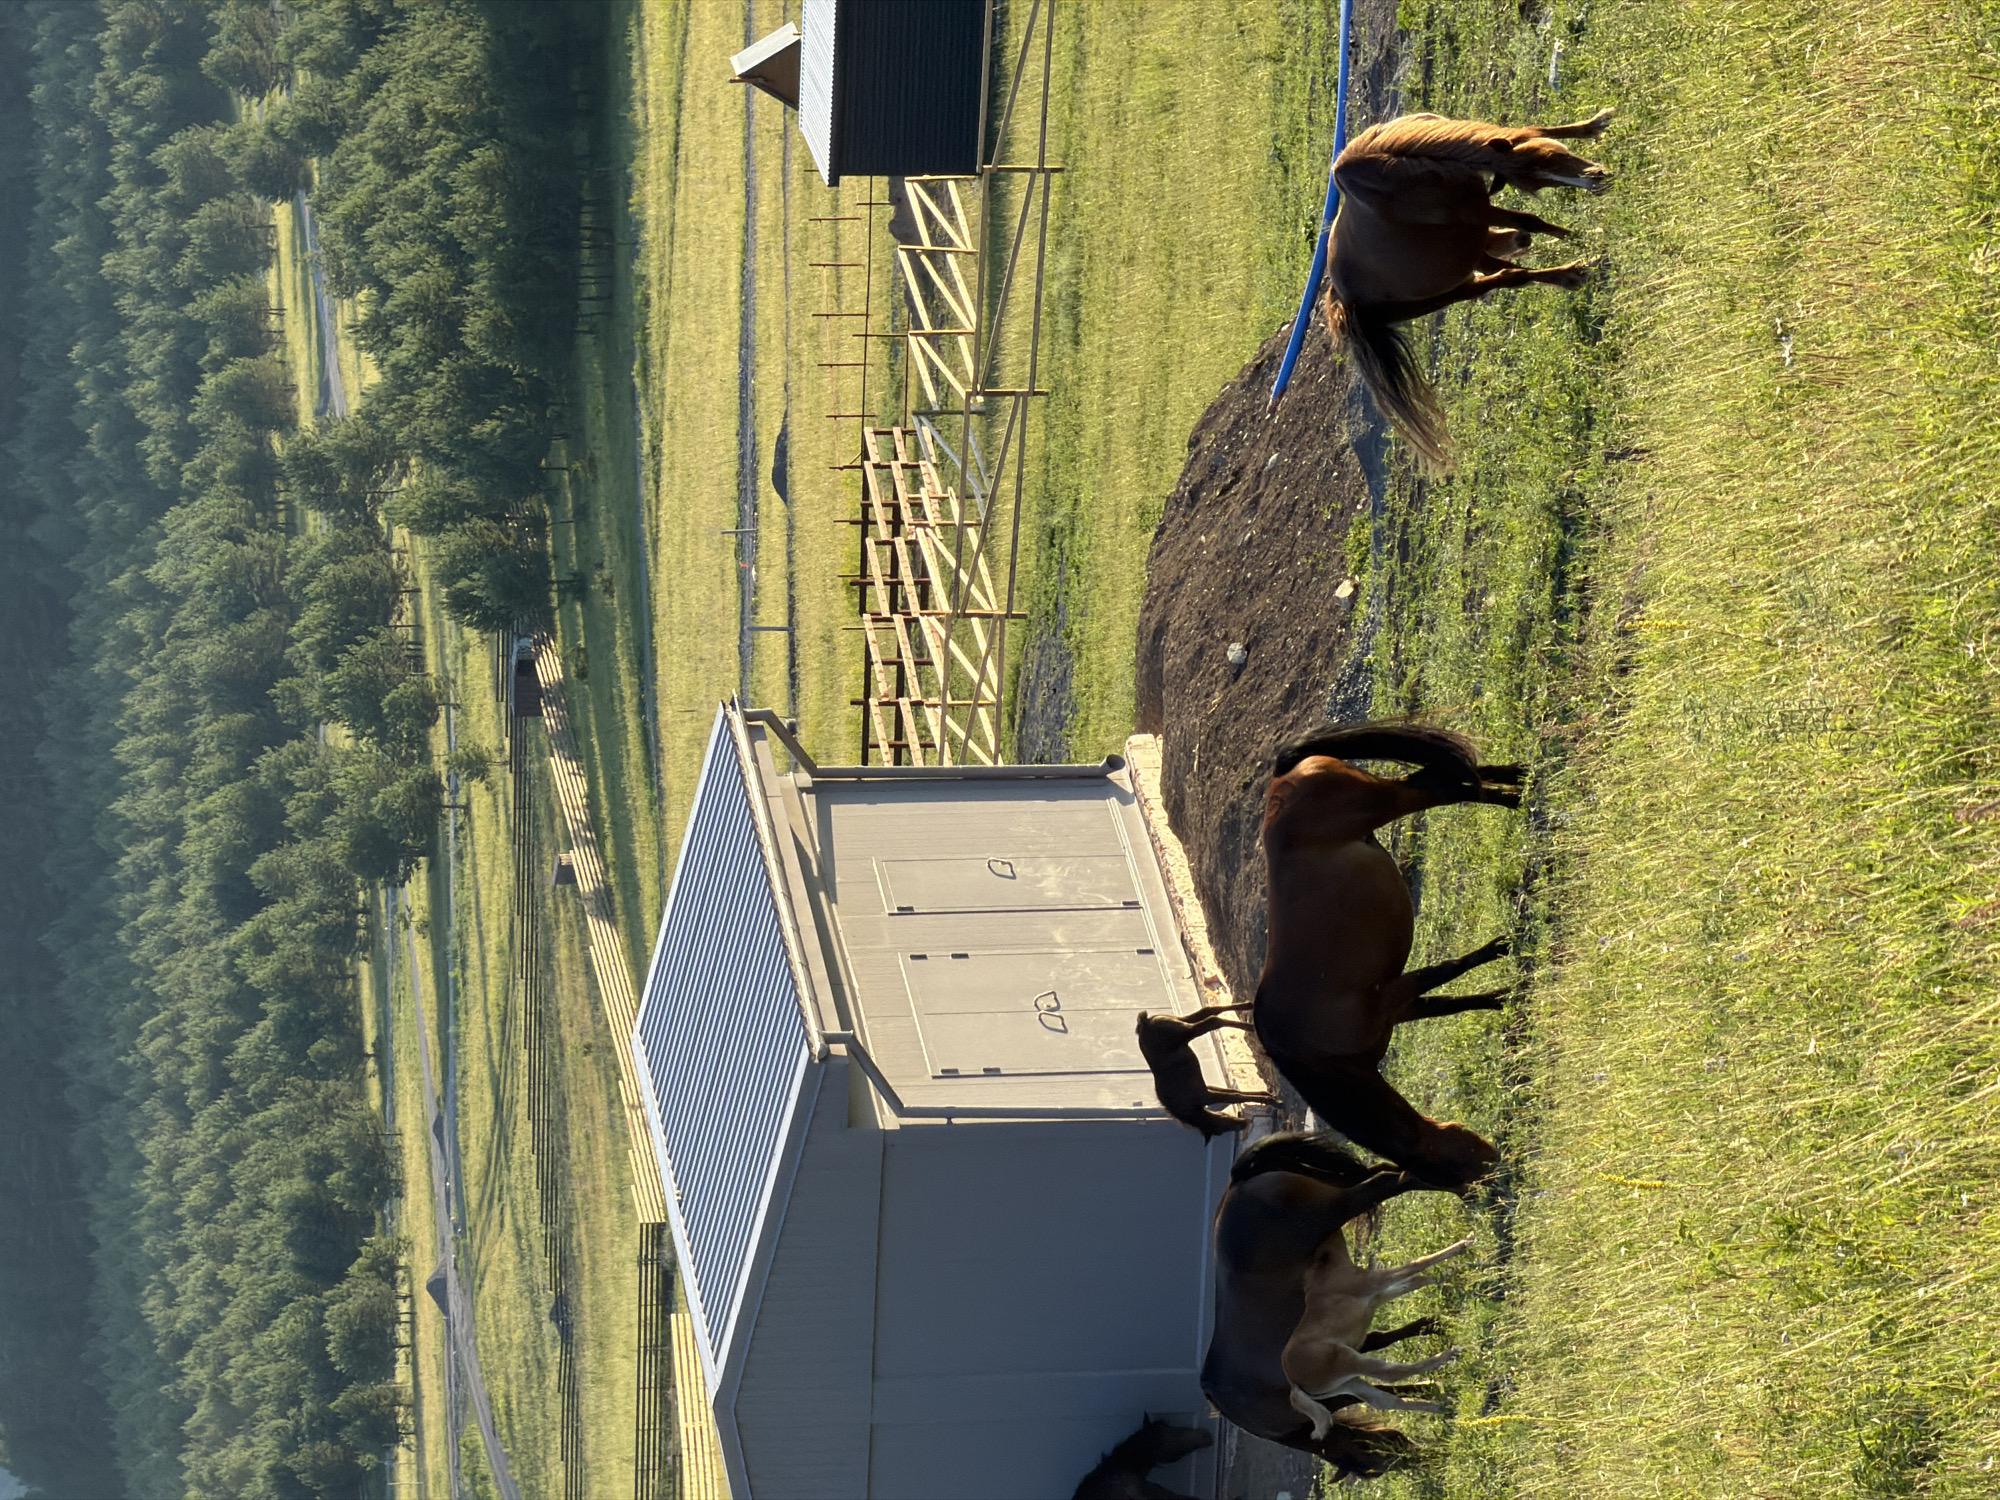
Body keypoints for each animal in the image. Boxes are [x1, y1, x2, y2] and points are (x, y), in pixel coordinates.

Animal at [1136, 1003, 1278, 1139]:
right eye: (1222, 1129)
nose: (1244, 1123)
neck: (1188, 1108)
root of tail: (1146, 1023)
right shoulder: (1208, 1090)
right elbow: (1235, 1093)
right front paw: (1268, 1096)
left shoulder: (1207, 1096)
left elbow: (1235, 1096)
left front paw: (1273, 1101)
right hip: (1182, 1022)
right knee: (1208, 1012)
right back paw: (1248, 1007)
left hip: (1185, 1031)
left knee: (1212, 1020)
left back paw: (1250, 1025)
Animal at [1253, 722, 1522, 1191]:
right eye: (1450, 1178)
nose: (1497, 1185)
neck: (1319, 1055)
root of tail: (1285, 773)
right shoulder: (1400, 1007)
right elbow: (1453, 1002)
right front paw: (1504, 998)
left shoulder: (1392, 994)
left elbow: (1450, 970)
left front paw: (1502, 948)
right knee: (1441, 778)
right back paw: (1518, 780)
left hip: (1387, 801)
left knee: (1440, 786)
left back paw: (1517, 795)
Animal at [1282, 1228, 1473, 1439]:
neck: (1327, 1269)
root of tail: (1293, 1382)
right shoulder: (1374, 1282)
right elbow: (1416, 1265)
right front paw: (1464, 1245)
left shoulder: (1378, 1296)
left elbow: (1417, 1280)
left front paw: (1454, 1271)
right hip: (1348, 1360)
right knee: (1390, 1374)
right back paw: (1448, 1356)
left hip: (1347, 1383)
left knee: (1382, 1401)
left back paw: (1444, 1407)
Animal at [1325, 107, 1616, 469]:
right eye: (1540, 170)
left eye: (1552, 157)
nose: (1598, 178)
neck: (1400, 170)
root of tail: (1342, 300)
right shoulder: (1478, 209)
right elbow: (1531, 218)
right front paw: (1586, 240)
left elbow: (1532, 129)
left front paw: (1595, 124)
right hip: (1452, 289)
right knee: (1510, 276)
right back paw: (1572, 271)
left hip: (1469, 249)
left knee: (1504, 256)